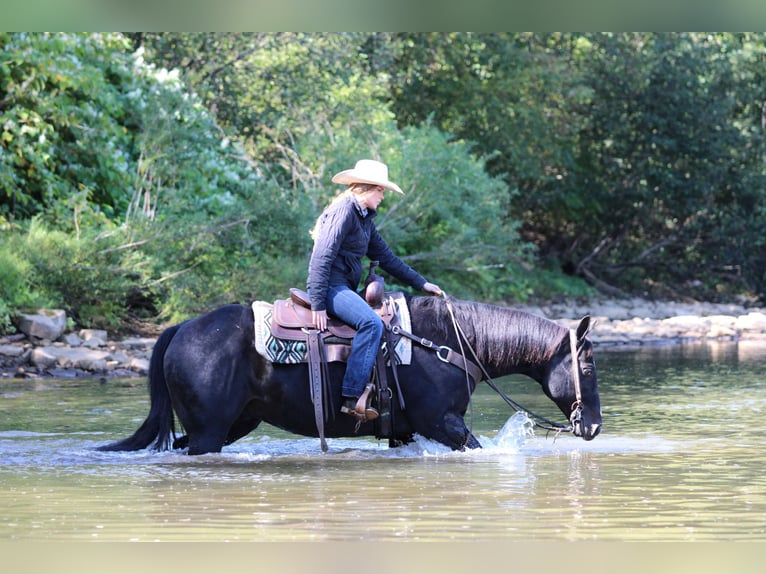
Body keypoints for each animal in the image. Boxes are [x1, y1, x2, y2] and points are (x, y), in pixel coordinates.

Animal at [97, 295, 602, 455]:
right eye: (588, 363)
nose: (594, 426)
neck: (446, 344)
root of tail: (181, 328)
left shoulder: (408, 432)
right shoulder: (444, 424)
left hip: (228, 426)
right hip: (209, 432)